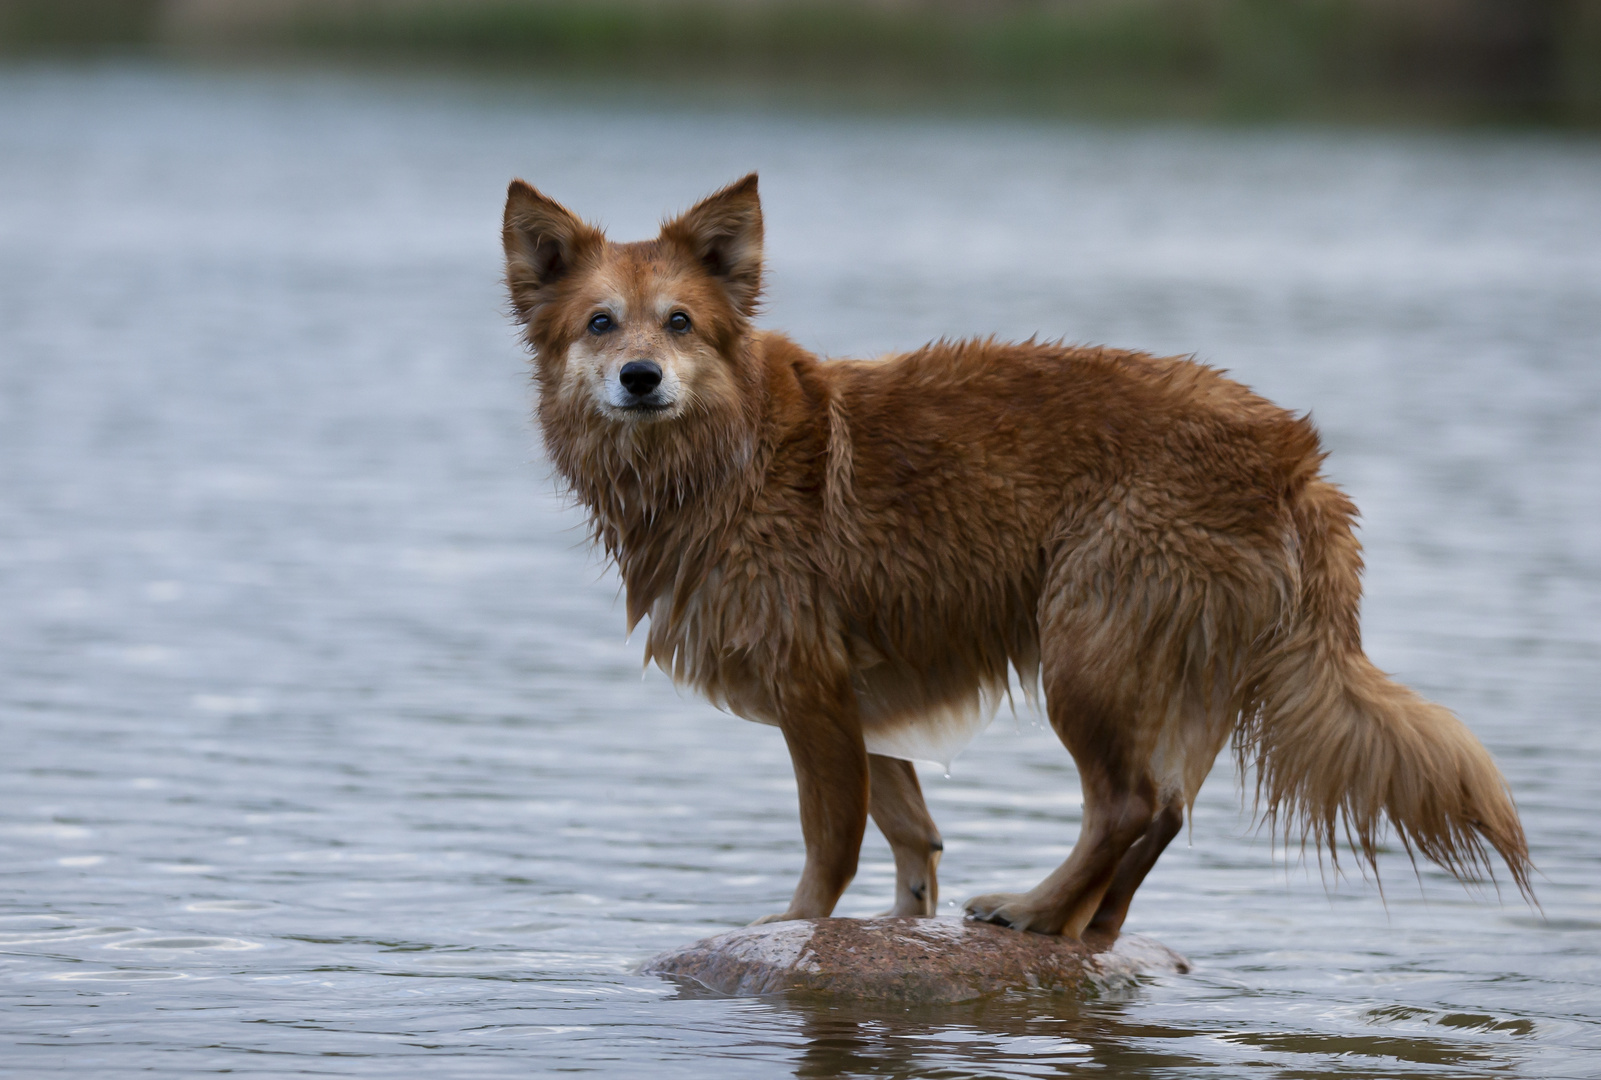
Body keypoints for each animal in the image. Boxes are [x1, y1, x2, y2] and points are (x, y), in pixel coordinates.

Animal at [499, 171, 1524, 940]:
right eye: (599, 323)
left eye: (679, 322)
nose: (640, 378)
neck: (724, 449)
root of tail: (1293, 456)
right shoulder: (860, 697)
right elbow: (910, 832)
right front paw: (902, 922)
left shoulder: (809, 686)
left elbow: (831, 839)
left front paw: (792, 926)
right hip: (1186, 662)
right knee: (1163, 809)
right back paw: (1083, 924)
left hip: (1086, 645)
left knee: (1126, 803)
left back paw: (1036, 910)